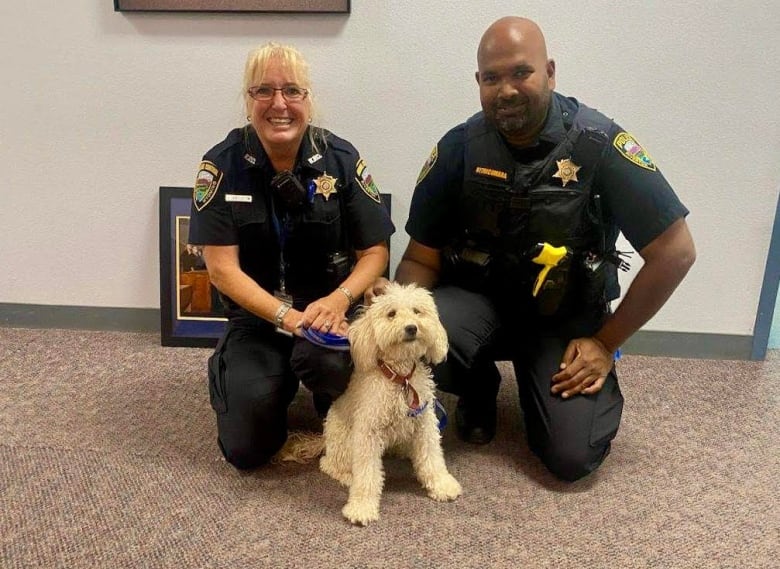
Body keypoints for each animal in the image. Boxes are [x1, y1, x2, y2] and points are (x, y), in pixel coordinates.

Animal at [282, 282, 460, 524]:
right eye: (391, 314)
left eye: (417, 311)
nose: (412, 328)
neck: (399, 377)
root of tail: (324, 439)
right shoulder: (367, 433)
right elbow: (367, 474)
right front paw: (362, 507)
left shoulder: (424, 424)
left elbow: (432, 457)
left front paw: (442, 485)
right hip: (346, 442)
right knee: (329, 464)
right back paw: (347, 476)